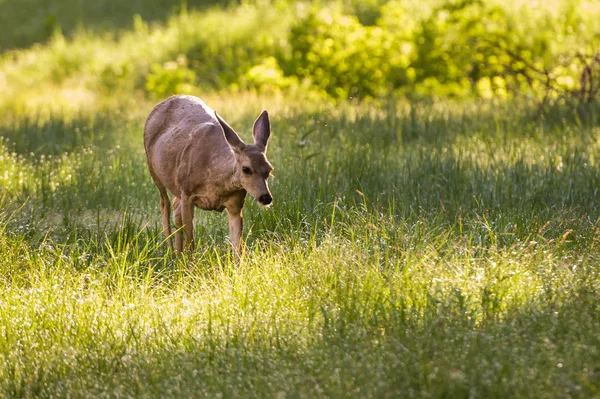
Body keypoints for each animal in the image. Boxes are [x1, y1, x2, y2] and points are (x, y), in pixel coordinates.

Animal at [144, 94, 276, 253]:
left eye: (269, 169)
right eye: (246, 169)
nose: (266, 197)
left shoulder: (236, 203)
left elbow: (237, 247)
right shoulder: (187, 193)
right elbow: (190, 243)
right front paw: (189, 260)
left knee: (175, 207)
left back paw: (177, 253)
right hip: (154, 169)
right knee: (165, 204)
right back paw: (171, 254)